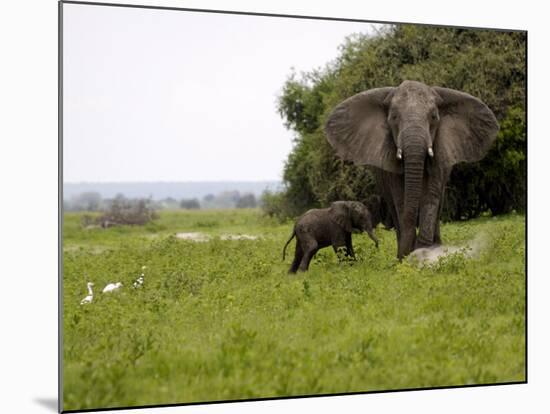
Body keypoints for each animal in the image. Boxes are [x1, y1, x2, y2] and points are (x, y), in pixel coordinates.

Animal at [326, 80, 502, 258]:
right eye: (394, 118)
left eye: (433, 117)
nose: (409, 253)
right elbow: (401, 201)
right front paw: (410, 256)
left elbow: (431, 198)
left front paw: (425, 252)